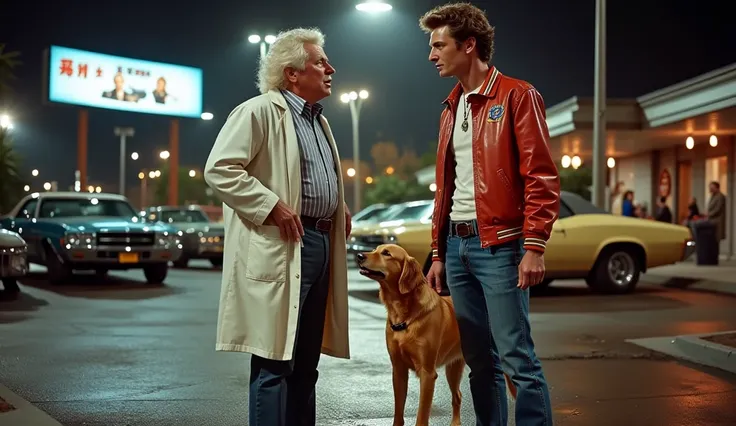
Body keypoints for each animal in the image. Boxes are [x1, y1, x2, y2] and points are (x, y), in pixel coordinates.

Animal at [356, 243, 516, 426]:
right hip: (454, 369)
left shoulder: (427, 373)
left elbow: (422, 415)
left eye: (386, 253)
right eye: (375, 249)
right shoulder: (398, 370)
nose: (359, 255)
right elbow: (398, 412)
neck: (405, 315)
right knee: (458, 396)